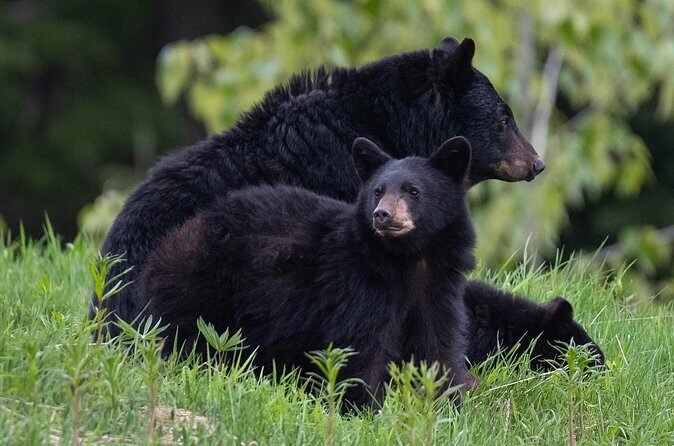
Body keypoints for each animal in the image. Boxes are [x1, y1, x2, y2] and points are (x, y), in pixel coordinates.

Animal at [138, 136, 476, 407]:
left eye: (413, 191)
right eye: (377, 192)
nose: (382, 214)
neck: (406, 260)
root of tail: (175, 236)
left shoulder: (439, 287)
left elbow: (438, 348)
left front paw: (448, 407)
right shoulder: (358, 283)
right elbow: (361, 347)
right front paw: (364, 409)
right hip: (200, 286)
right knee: (184, 335)